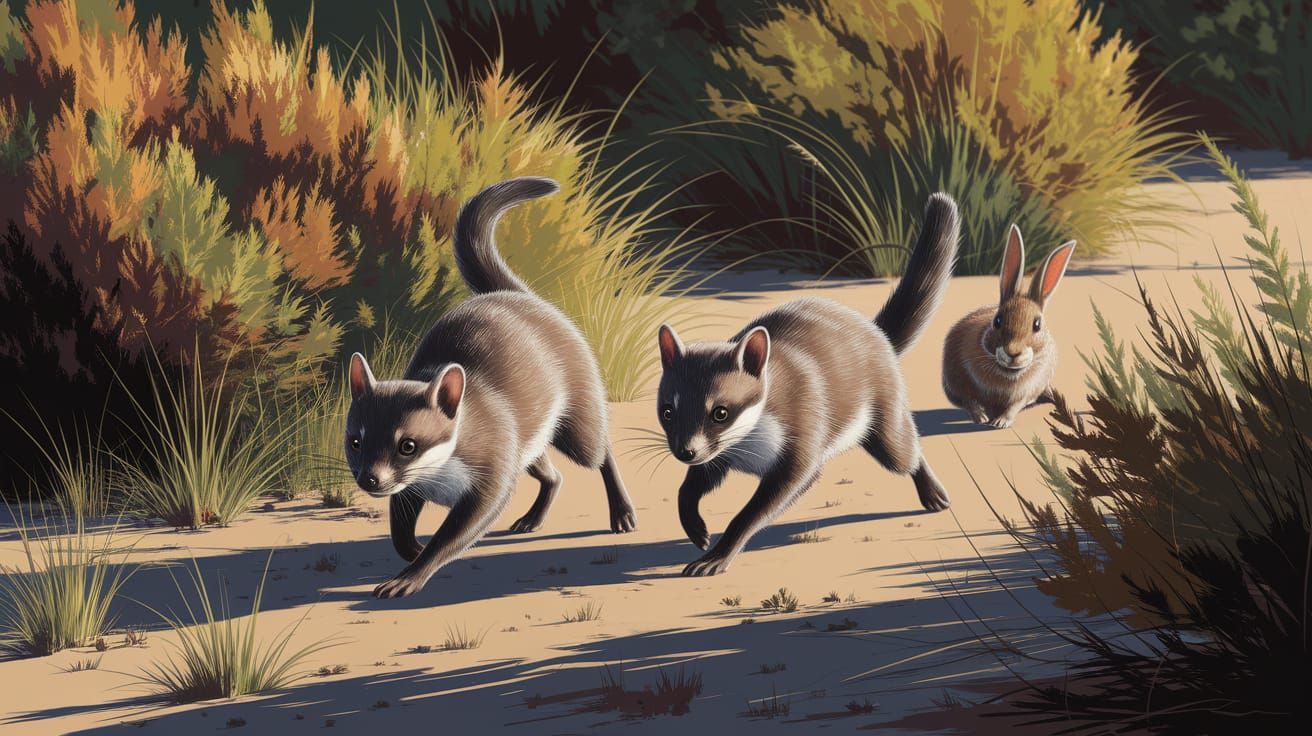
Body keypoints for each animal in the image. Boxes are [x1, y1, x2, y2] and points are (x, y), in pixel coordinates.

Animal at [942, 224, 1076, 428]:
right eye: (997, 321)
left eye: (1037, 325)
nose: (1013, 353)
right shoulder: (960, 384)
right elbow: (970, 401)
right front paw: (982, 419)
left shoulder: (1025, 393)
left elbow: (1014, 406)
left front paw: (1000, 422)